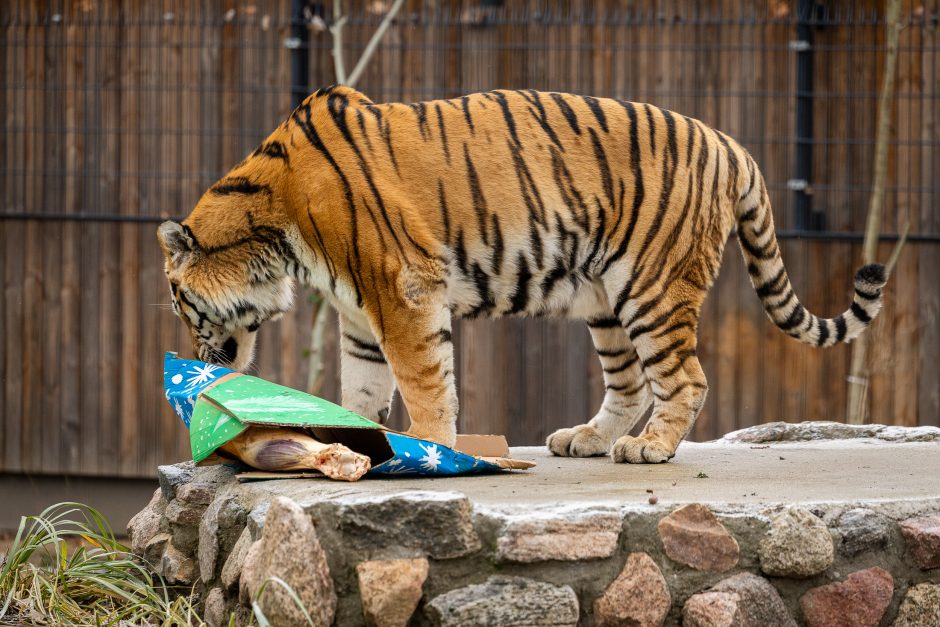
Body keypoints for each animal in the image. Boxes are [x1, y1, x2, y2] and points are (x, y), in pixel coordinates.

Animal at [158, 86, 884, 464]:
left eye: (180, 303)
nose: (199, 356)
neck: (275, 227)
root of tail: (733, 146)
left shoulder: (404, 290)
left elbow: (424, 381)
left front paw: (429, 449)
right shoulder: (363, 316)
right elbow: (363, 387)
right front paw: (353, 440)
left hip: (652, 288)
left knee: (684, 378)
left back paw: (649, 448)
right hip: (604, 298)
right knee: (628, 383)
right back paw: (588, 438)